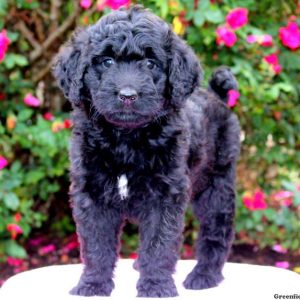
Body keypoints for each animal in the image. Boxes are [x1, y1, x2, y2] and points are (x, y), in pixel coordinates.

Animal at [54, 5, 240, 298]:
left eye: (151, 64)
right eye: (107, 62)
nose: (127, 95)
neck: (126, 139)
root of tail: (215, 95)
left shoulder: (165, 196)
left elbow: (159, 243)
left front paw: (156, 286)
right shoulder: (91, 194)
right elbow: (96, 244)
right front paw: (93, 285)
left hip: (217, 184)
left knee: (217, 230)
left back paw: (204, 276)